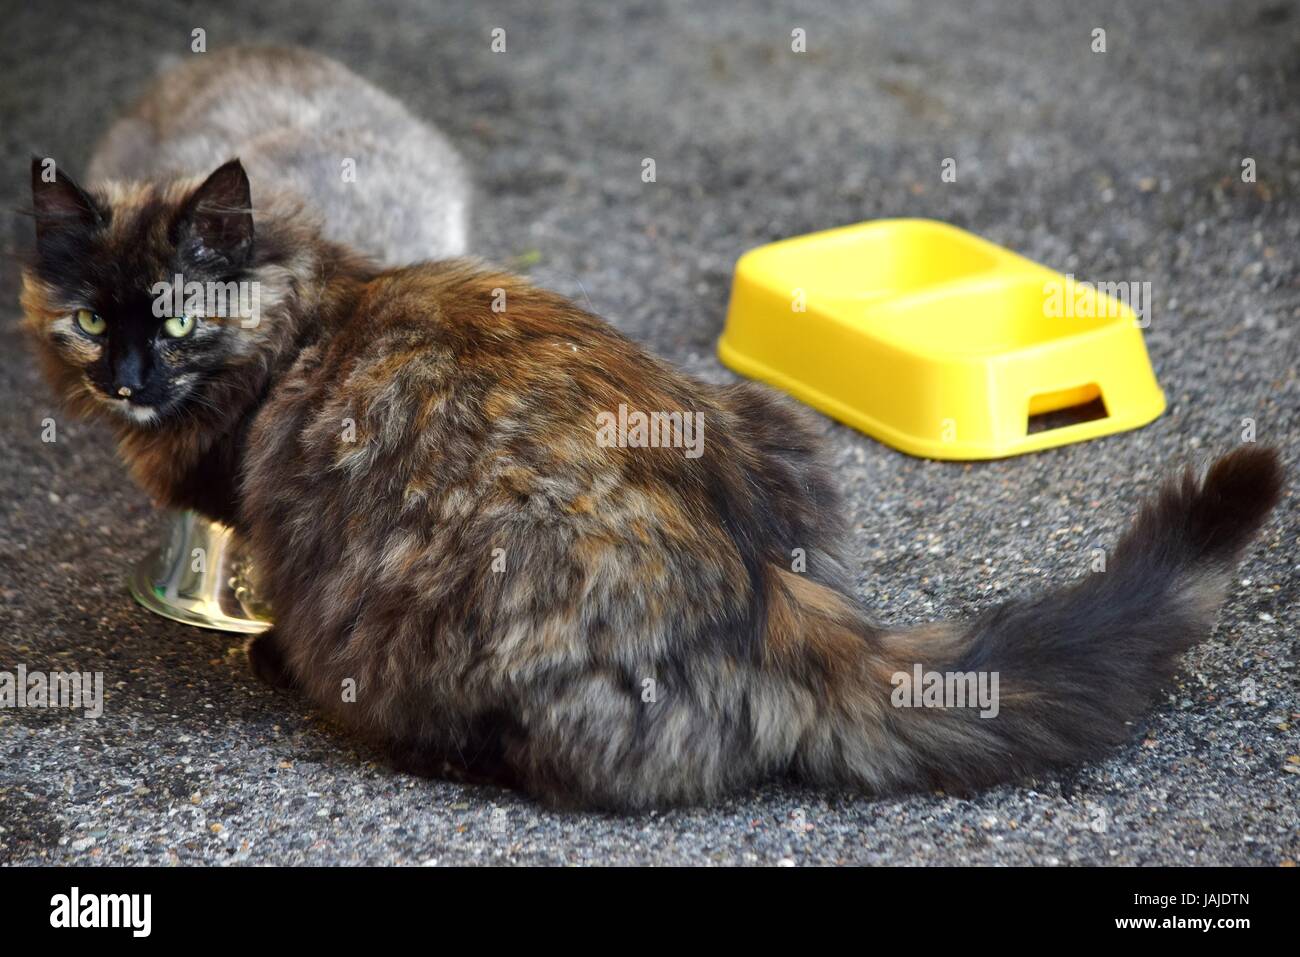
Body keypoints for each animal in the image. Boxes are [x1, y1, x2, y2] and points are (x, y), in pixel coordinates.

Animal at [20, 102, 1279, 806]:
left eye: (177, 321)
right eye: (88, 318)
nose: (124, 378)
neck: (307, 313)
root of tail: (772, 599)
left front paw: (262, 643)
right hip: (768, 423)